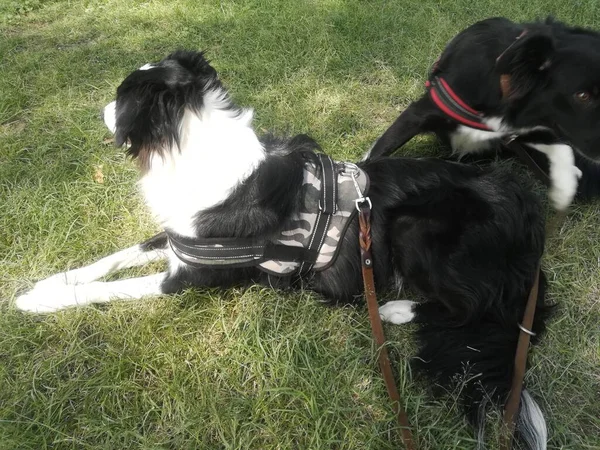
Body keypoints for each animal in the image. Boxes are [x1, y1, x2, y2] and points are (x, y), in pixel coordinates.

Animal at [15, 51, 552, 448]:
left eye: (121, 99)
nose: (100, 110)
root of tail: (526, 210)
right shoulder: (182, 238)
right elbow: (116, 256)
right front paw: (48, 281)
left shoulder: (187, 277)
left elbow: (112, 288)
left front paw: (37, 301)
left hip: (415, 228)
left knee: (476, 306)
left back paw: (396, 308)